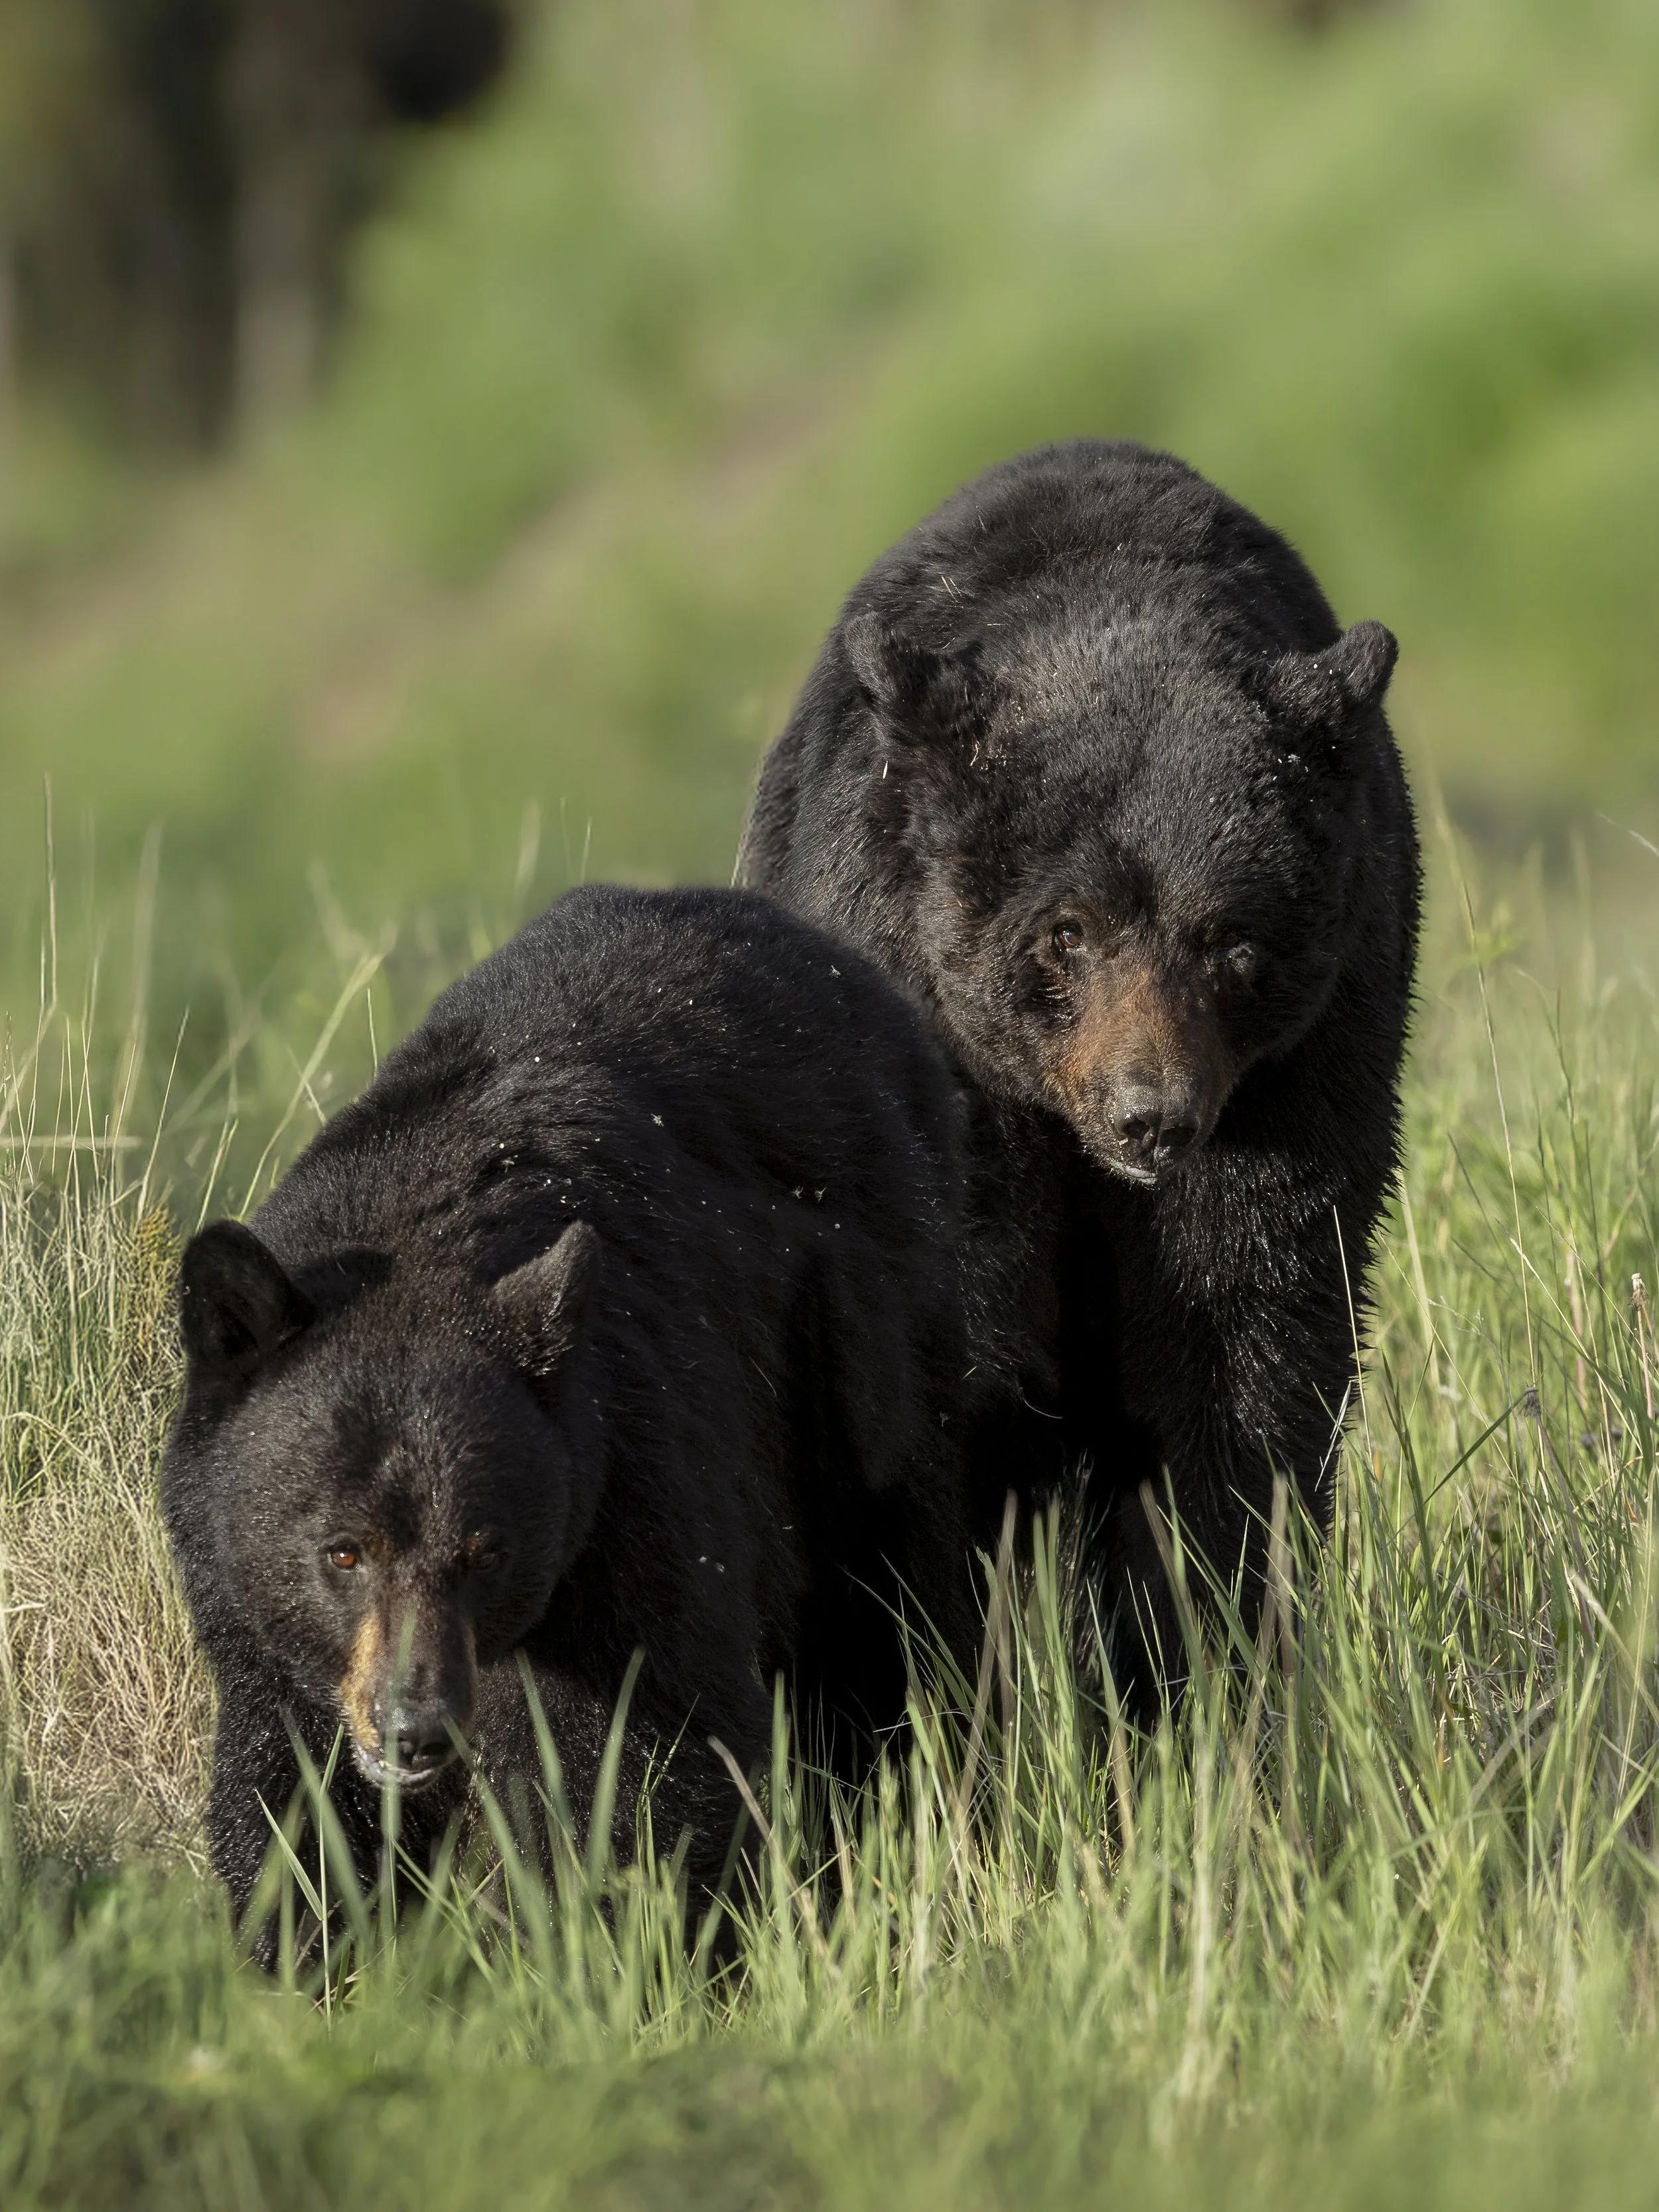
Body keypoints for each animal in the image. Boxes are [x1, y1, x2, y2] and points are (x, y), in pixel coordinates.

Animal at [161, 883, 975, 1954]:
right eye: (342, 1551)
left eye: (485, 1550)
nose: (415, 1728)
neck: (419, 1223)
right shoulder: (251, 1611)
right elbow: (288, 1785)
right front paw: (302, 1943)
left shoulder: (628, 1482)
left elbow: (647, 1757)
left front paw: (625, 1947)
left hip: (873, 1361)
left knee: (895, 1616)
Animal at [740, 438, 1420, 1685]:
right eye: (1066, 930)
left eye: (1231, 940)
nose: (1151, 1112)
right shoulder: (934, 1053)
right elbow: (954, 1358)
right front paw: (961, 1670)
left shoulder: (1302, 1067)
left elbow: (1243, 1338)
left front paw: (1210, 1654)